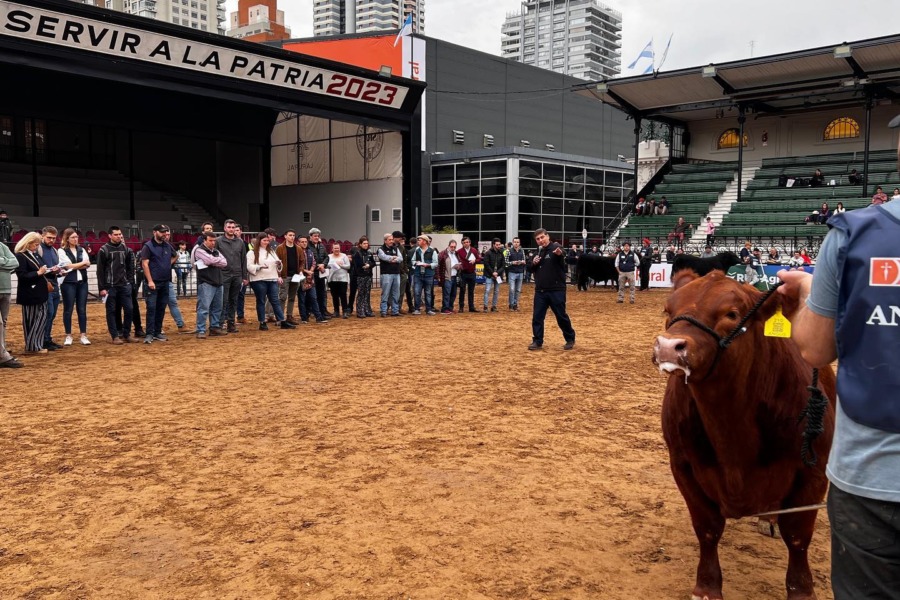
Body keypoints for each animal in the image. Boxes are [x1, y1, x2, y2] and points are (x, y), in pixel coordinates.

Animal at [652, 270, 835, 600]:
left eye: (732, 314)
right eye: (668, 310)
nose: (669, 347)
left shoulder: (813, 471)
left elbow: (797, 536)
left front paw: (801, 590)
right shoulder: (682, 465)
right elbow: (707, 528)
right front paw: (707, 587)